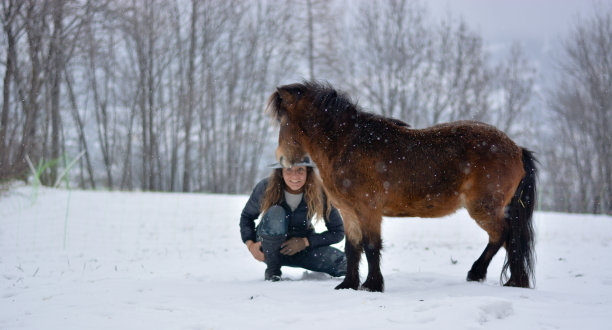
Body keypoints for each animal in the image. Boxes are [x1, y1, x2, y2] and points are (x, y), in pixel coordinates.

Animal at [268, 82, 536, 292]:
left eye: (283, 120)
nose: (283, 159)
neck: (347, 145)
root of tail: (517, 149)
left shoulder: (369, 210)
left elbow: (371, 246)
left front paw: (372, 285)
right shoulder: (349, 213)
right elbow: (353, 247)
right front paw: (348, 285)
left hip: (483, 208)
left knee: (503, 235)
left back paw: (488, 275)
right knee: (505, 238)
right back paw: (506, 279)